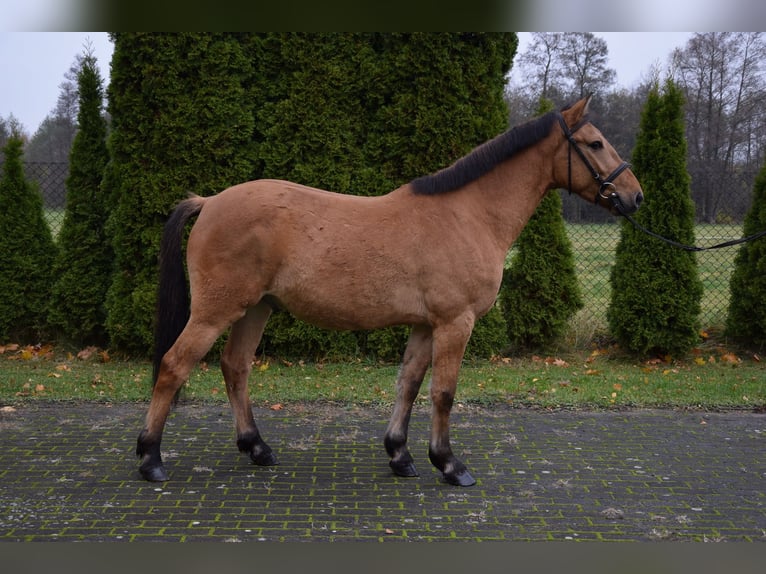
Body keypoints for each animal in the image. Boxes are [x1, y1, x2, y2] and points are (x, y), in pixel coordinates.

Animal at [137, 95, 643, 487]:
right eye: (595, 143)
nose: (635, 196)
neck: (467, 215)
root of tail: (209, 202)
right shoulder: (455, 322)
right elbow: (443, 392)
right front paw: (450, 465)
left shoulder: (425, 324)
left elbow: (409, 384)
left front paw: (400, 455)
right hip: (216, 310)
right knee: (174, 366)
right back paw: (150, 458)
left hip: (256, 308)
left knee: (235, 366)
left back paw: (257, 447)